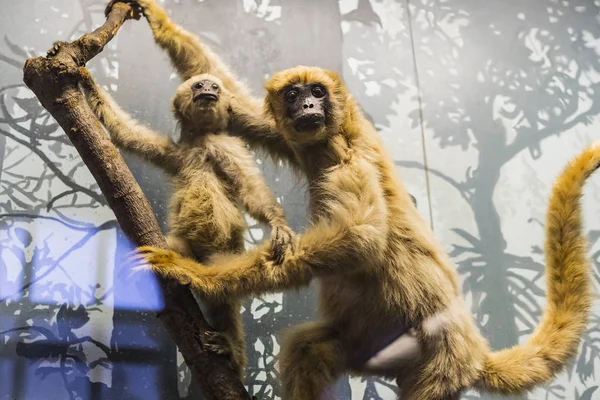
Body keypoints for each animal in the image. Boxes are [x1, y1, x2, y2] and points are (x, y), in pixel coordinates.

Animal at [79, 69, 296, 382]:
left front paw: (278, 224)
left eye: (214, 86)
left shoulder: (225, 146)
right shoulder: (175, 154)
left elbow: (252, 192)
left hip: (222, 254)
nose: (209, 91)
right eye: (199, 85)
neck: (200, 142)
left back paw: (232, 351)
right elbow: (126, 135)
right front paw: (85, 80)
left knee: (222, 291)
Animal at [118, 0, 596, 396]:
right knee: (308, 349)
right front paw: (158, 20)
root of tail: (473, 351)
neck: (338, 134)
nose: (308, 108)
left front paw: (193, 273)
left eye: (316, 92)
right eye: (293, 94)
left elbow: (359, 237)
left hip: (440, 364)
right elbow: (235, 103)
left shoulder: (349, 159)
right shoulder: (299, 139)